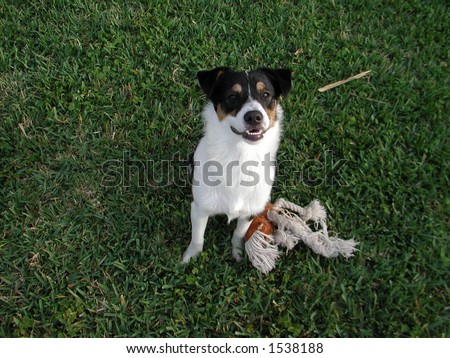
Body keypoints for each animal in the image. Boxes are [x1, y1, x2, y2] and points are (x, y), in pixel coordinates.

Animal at [183, 66, 292, 262]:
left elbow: (239, 233)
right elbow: (197, 238)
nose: (254, 116)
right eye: (232, 96)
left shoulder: (249, 211)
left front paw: (238, 253)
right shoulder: (199, 208)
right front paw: (190, 257)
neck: (241, 156)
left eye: (266, 94)